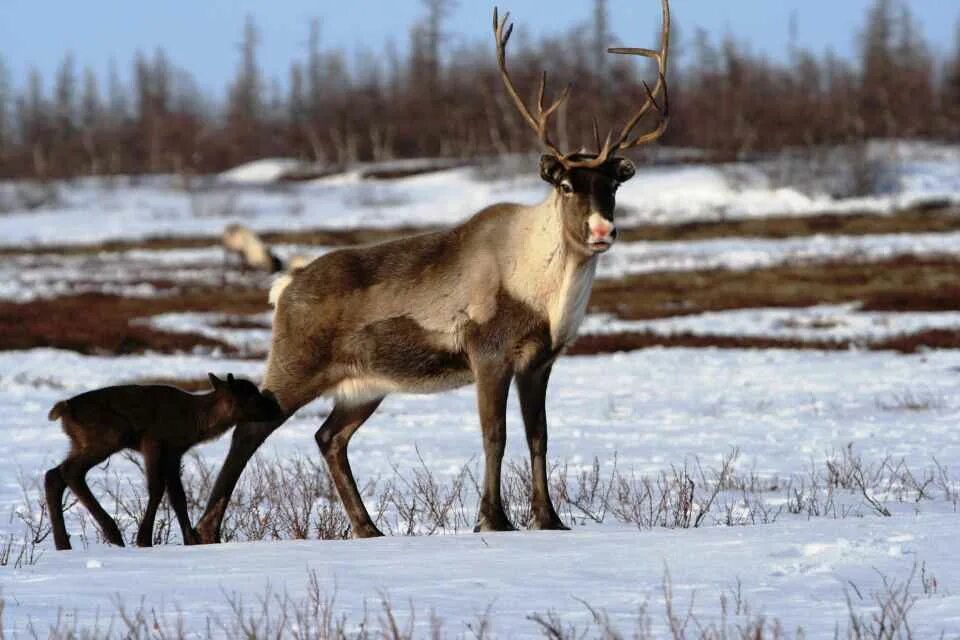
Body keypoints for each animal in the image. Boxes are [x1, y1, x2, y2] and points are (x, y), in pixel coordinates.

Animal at [45, 376, 282, 552]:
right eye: (252, 396)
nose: (277, 408)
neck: (196, 422)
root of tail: (63, 410)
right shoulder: (154, 442)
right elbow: (157, 489)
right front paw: (144, 539)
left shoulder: (174, 454)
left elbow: (178, 497)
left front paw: (191, 541)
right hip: (110, 437)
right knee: (70, 471)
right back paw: (113, 534)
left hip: (80, 443)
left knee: (53, 475)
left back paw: (63, 544)